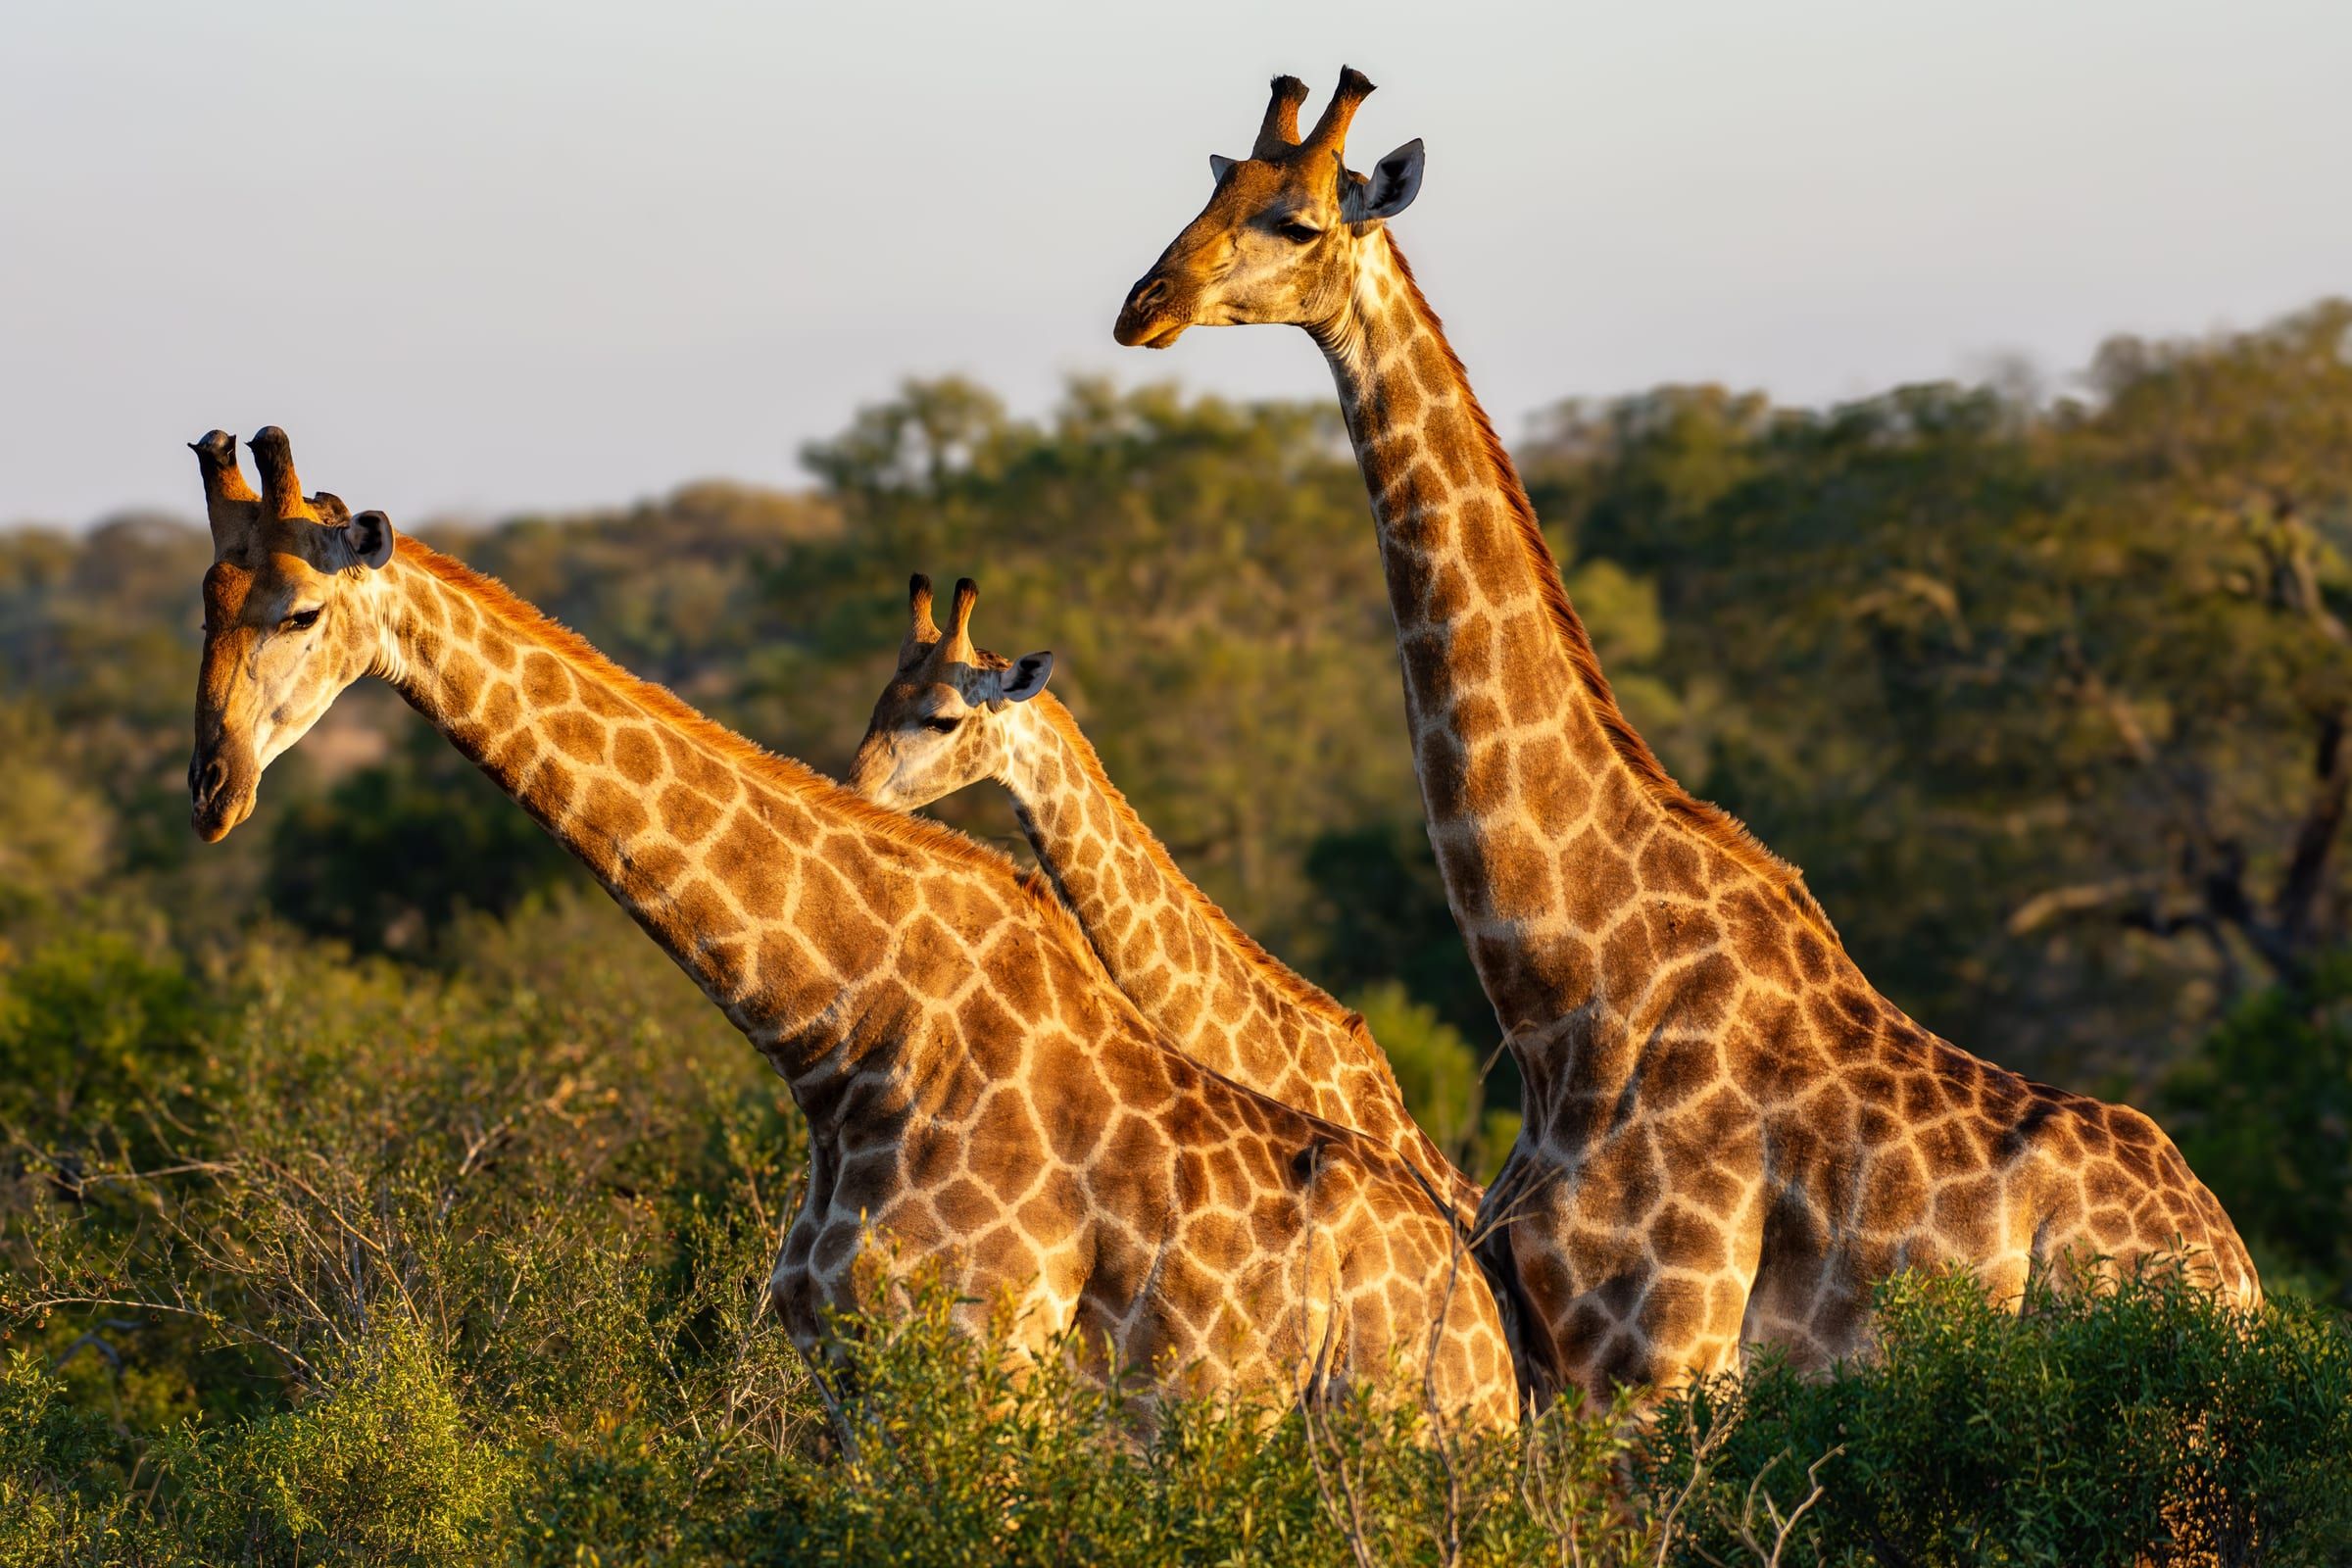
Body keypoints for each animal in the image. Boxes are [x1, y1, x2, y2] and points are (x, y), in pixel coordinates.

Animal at [1113, 70, 2260, 1400]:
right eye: (1209, 193)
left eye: (1296, 222)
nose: (1145, 305)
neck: (1572, 995)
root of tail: (2244, 1276)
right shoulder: (1552, 1365)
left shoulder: (1659, 1362)